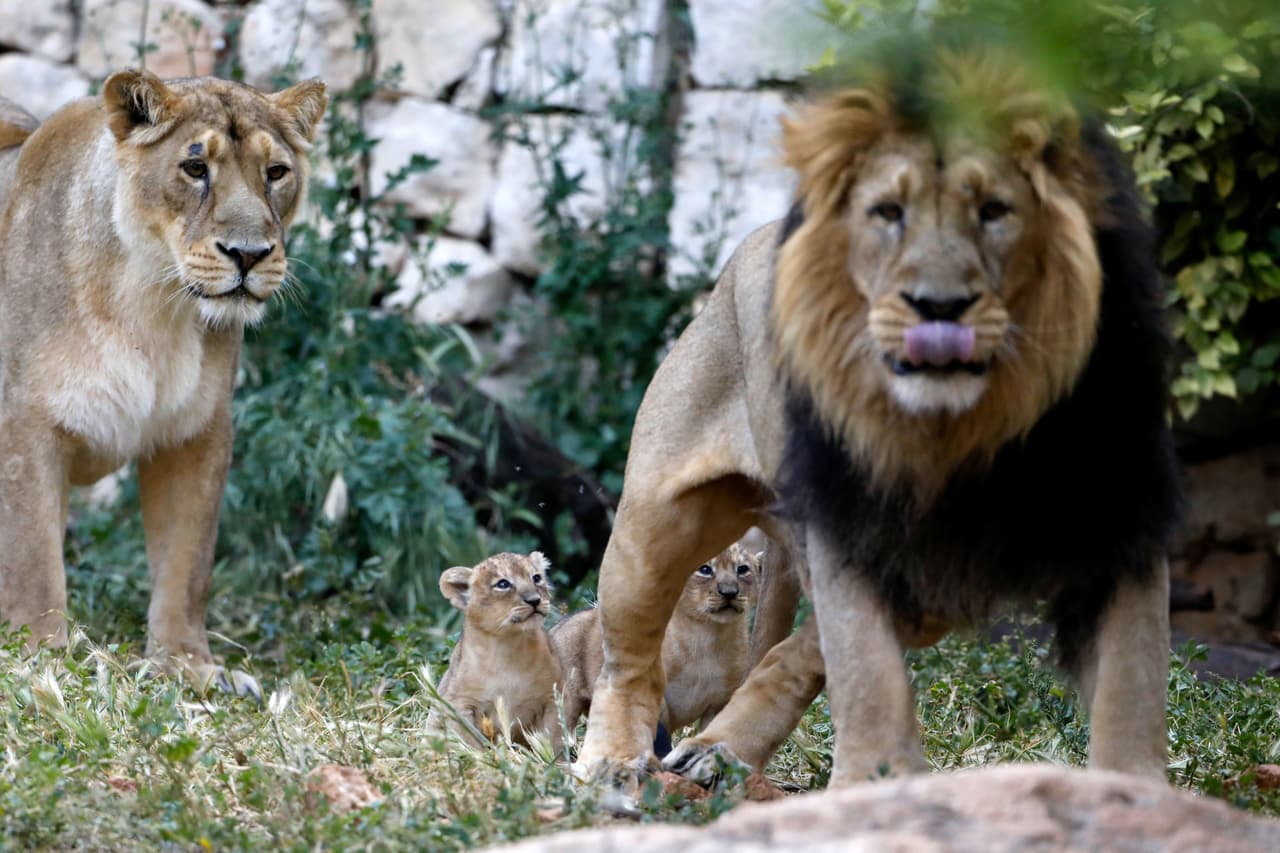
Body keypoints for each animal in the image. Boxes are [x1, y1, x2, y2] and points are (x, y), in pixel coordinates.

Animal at [0, 71, 327, 694]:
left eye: (276, 173)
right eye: (194, 168)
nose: (249, 255)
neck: (154, 301)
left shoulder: (196, 433)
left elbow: (186, 565)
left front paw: (186, 667)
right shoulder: (24, 428)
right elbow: (34, 562)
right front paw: (40, 662)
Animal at [428, 552, 564, 752]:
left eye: (536, 578)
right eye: (503, 584)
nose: (535, 600)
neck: (508, 646)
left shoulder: (551, 699)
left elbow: (555, 740)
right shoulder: (460, 703)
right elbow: (471, 743)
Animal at [551, 540, 762, 740]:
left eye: (743, 569)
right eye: (705, 569)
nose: (729, 592)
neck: (708, 636)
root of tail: (555, 628)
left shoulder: (720, 702)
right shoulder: (653, 695)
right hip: (565, 703)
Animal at [574, 49, 1182, 787]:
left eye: (995, 211)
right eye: (887, 213)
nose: (938, 306)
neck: (967, 431)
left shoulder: (1121, 522)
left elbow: (1132, 681)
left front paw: (1135, 790)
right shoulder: (848, 524)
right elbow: (866, 672)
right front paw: (870, 784)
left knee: (792, 652)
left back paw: (717, 750)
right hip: (652, 523)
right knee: (629, 660)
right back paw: (613, 763)